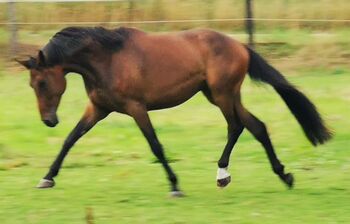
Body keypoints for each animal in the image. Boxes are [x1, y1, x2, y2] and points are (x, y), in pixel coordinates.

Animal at [17, 26, 330, 196]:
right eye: (31, 85)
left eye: (42, 82)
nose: (48, 120)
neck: (106, 59)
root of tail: (240, 45)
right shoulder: (98, 109)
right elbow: (70, 139)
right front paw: (47, 178)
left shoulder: (136, 108)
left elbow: (155, 145)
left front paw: (175, 186)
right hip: (220, 95)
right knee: (257, 126)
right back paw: (283, 176)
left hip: (222, 95)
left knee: (236, 126)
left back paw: (223, 174)